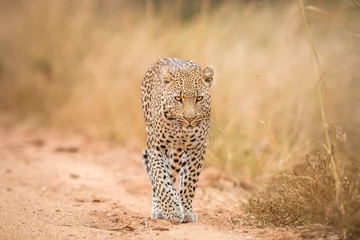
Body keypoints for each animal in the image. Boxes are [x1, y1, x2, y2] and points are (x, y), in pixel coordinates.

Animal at [140, 57, 214, 223]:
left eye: (199, 98)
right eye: (178, 98)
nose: (189, 119)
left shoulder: (197, 148)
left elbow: (189, 182)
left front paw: (186, 210)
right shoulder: (157, 148)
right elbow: (160, 178)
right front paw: (172, 210)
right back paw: (158, 209)